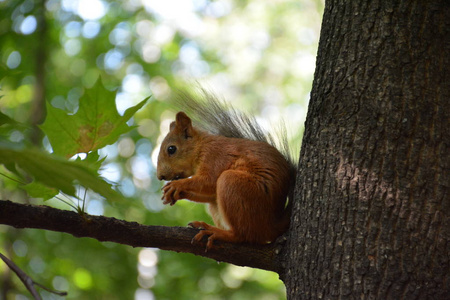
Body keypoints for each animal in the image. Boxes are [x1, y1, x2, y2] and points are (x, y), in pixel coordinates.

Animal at [156, 89, 298, 251]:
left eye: (171, 149)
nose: (160, 176)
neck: (201, 147)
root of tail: (271, 227)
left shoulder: (216, 157)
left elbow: (209, 181)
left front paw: (177, 185)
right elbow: (211, 193)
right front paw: (178, 193)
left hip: (233, 184)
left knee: (243, 235)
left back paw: (217, 232)